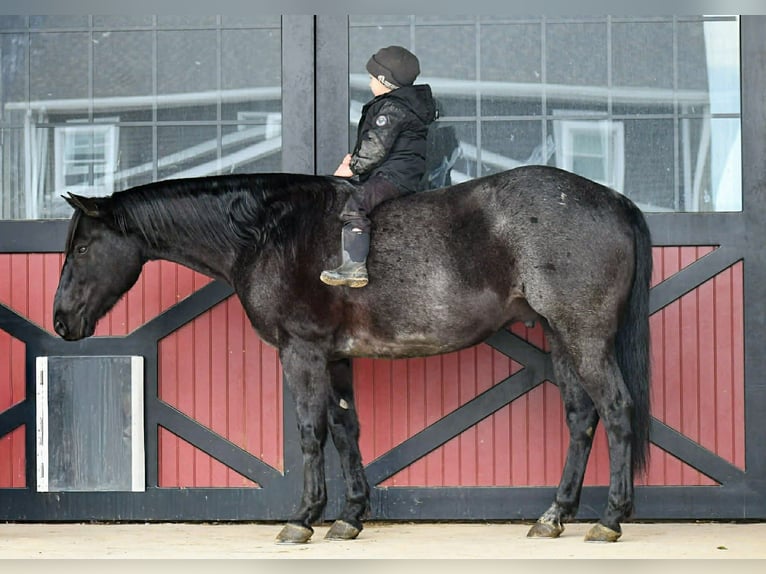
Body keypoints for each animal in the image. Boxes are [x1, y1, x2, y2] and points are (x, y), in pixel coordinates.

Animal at [52, 164, 653, 544]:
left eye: (81, 247)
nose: (60, 322)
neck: (269, 231)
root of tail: (615, 200)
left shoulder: (301, 352)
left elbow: (310, 431)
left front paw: (303, 518)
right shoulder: (335, 357)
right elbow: (345, 430)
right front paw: (350, 516)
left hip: (585, 336)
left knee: (617, 410)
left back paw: (610, 519)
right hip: (560, 336)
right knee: (581, 416)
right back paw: (554, 516)